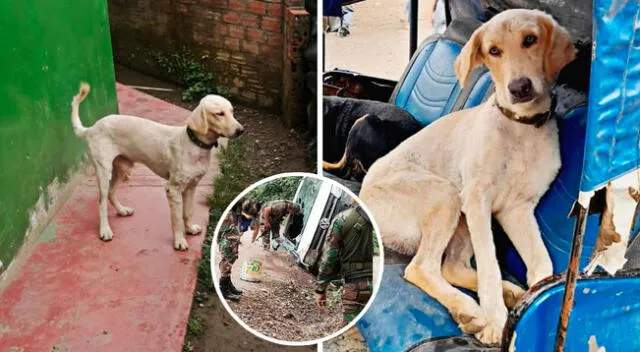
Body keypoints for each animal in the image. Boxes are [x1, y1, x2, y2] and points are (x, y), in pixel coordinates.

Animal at [70, 82, 245, 250]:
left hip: (122, 168)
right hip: (103, 171)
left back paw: (121, 210)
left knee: (111, 193)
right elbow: (177, 219)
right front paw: (179, 241)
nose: (241, 130)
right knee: (101, 201)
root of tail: (91, 129)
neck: (194, 144)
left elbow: (188, 212)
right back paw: (105, 230)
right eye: (219, 114)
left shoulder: (191, 186)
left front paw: (189, 229)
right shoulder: (173, 189)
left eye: (232, 112)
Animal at [360, 8, 576, 346]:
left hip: (460, 216)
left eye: (531, 39)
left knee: (451, 268)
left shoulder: (516, 210)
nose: (520, 88)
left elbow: (542, 263)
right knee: (422, 268)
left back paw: (509, 293)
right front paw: (496, 321)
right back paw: (471, 310)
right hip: (447, 194)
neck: (521, 128)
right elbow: (489, 265)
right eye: (493, 51)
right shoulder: (477, 201)